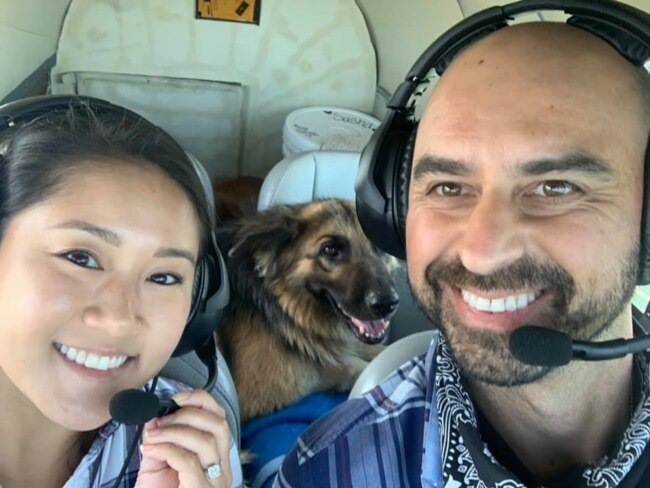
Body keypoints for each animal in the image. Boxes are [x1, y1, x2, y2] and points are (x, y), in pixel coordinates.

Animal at [216, 200, 400, 422]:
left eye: (379, 247)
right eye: (330, 250)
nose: (388, 304)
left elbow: (381, 350)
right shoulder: (273, 387)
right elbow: (350, 367)